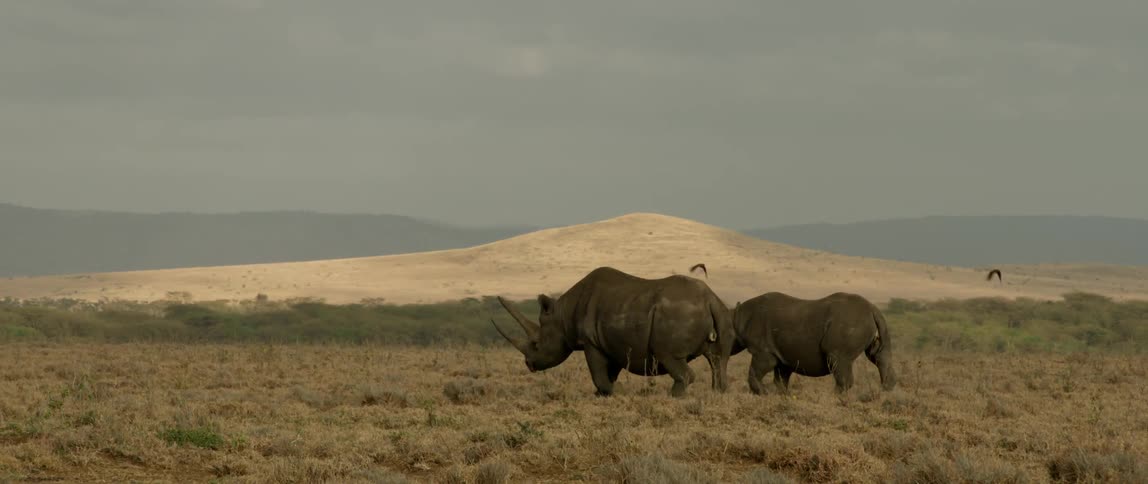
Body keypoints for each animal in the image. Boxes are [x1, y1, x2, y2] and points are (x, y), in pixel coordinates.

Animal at [490, 266, 735, 397]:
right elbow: (611, 372)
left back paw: (673, 396)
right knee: (718, 357)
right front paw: (602, 395)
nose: (529, 364)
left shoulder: (590, 341)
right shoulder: (611, 342)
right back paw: (718, 392)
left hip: (677, 313)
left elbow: (598, 373)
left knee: (668, 354)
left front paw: (606, 393)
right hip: (719, 312)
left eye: (536, 344)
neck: (562, 315)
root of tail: (709, 299)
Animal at [731, 291, 895, 395]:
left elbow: (756, 372)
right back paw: (887, 390)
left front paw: (763, 394)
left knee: (837, 358)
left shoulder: (763, 350)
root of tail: (873, 309)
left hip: (850, 323)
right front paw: (781, 395)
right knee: (878, 354)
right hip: (870, 323)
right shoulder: (782, 354)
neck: (738, 316)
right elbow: (781, 379)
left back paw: (833, 398)